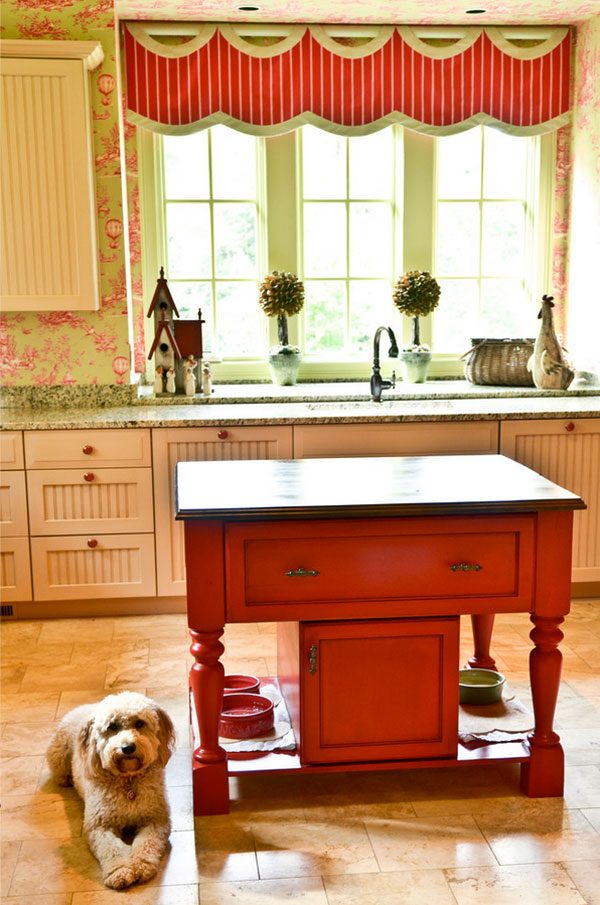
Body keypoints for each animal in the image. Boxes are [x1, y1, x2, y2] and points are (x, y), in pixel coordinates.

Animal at [46, 692, 176, 888]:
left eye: (139, 723)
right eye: (112, 727)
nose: (128, 747)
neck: (128, 781)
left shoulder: (155, 819)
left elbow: (147, 843)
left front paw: (141, 865)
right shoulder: (99, 826)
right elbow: (111, 849)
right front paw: (119, 871)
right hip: (58, 755)